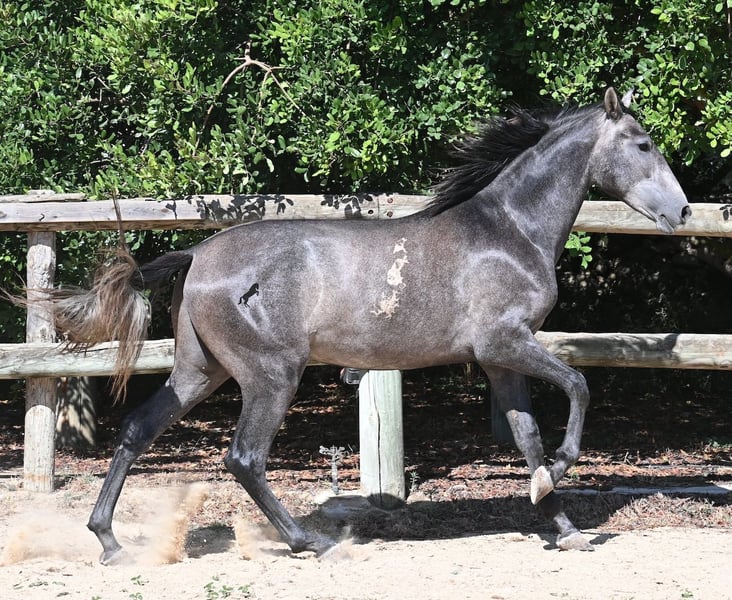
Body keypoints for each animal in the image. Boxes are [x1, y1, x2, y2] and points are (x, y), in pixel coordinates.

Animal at [48, 88, 690, 563]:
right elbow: (580, 387)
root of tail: (199, 255)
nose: (682, 211)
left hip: (200, 371)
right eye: (643, 142)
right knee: (243, 458)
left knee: (138, 428)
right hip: (271, 375)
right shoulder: (507, 342)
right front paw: (559, 473)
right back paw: (312, 542)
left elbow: (527, 435)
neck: (508, 232)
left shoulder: (498, 359)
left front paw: (562, 521)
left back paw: (109, 541)